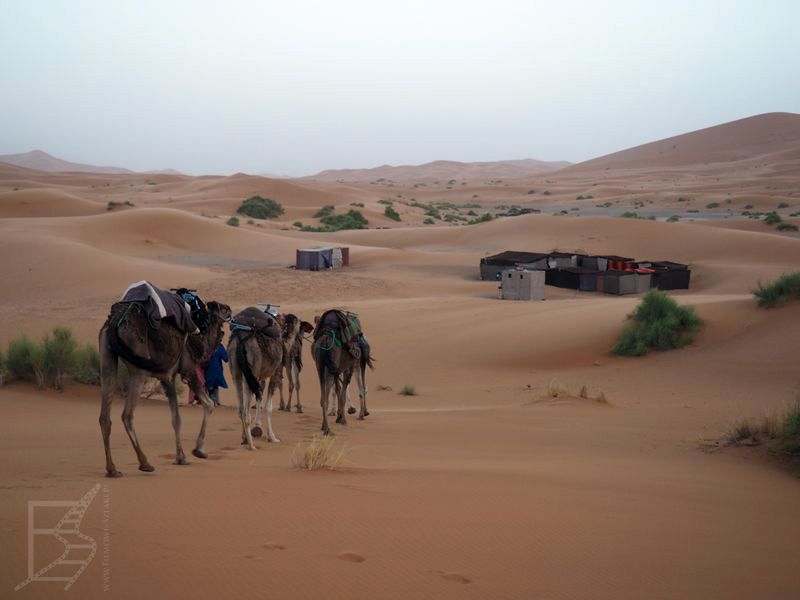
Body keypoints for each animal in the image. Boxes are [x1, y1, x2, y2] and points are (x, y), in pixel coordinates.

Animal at [97, 292, 231, 478]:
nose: (231, 310)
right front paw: (198, 450)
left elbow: (176, 418)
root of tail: (113, 323)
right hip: (139, 369)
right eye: (223, 308)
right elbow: (208, 404)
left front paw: (181, 457)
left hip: (107, 356)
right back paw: (145, 463)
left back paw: (112, 469)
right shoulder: (188, 369)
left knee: (104, 416)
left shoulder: (167, 377)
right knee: (127, 415)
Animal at [228, 308, 284, 448]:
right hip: (251, 368)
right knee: (245, 411)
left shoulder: (259, 377)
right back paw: (251, 445)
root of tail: (241, 339)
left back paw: (244, 438)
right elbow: (268, 407)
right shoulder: (276, 373)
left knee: (240, 409)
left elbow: (260, 397)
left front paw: (258, 427)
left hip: (236, 372)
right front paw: (272, 437)